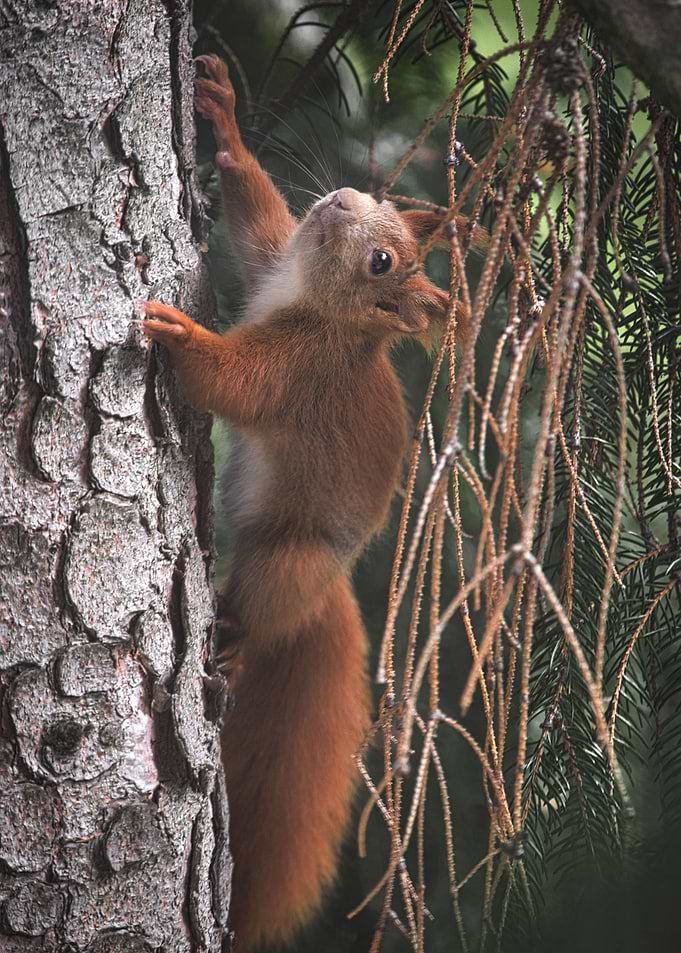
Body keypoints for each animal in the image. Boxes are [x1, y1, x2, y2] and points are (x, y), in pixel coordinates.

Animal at [142, 55, 479, 951]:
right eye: (377, 202)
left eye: (382, 262)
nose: (342, 199)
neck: (304, 297)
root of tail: (329, 589)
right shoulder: (268, 259)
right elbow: (260, 213)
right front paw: (221, 117)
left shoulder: (296, 374)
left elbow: (231, 381)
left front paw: (182, 336)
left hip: (287, 562)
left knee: (261, 622)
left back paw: (228, 644)